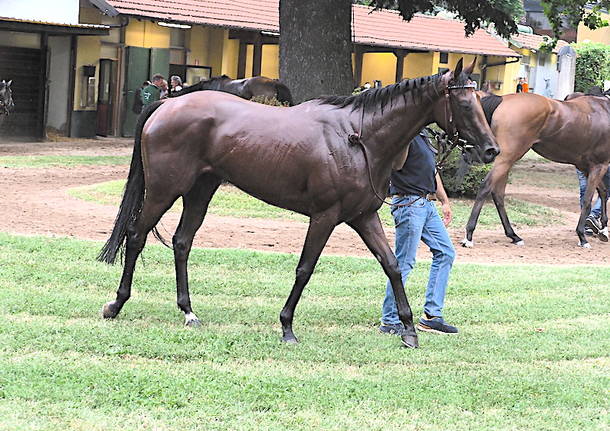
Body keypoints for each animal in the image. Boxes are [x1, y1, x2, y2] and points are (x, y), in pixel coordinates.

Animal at [96, 59, 494, 350]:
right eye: (463, 103)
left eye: (480, 100)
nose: (491, 149)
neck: (358, 137)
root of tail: (168, 102)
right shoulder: (325, 216)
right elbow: (305, 269)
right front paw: (287, 326)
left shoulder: (363, 216)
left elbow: (393, 265)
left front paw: (409, 329)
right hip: (165, 190)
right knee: (136, 235)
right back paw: (116, 304)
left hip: (200, 191)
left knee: (182, 242)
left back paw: (188, 312)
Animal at [456, 91, 608, 248]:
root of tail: (502, 99)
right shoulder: (599, 165)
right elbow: (588, 200)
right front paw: (582, 236)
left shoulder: (586, 167)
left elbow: (603, 192)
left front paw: (603, 229)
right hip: (507, 157)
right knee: (486, 187)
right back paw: (469, 236)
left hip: (507, 160)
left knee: (498, 193)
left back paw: (514, 236)